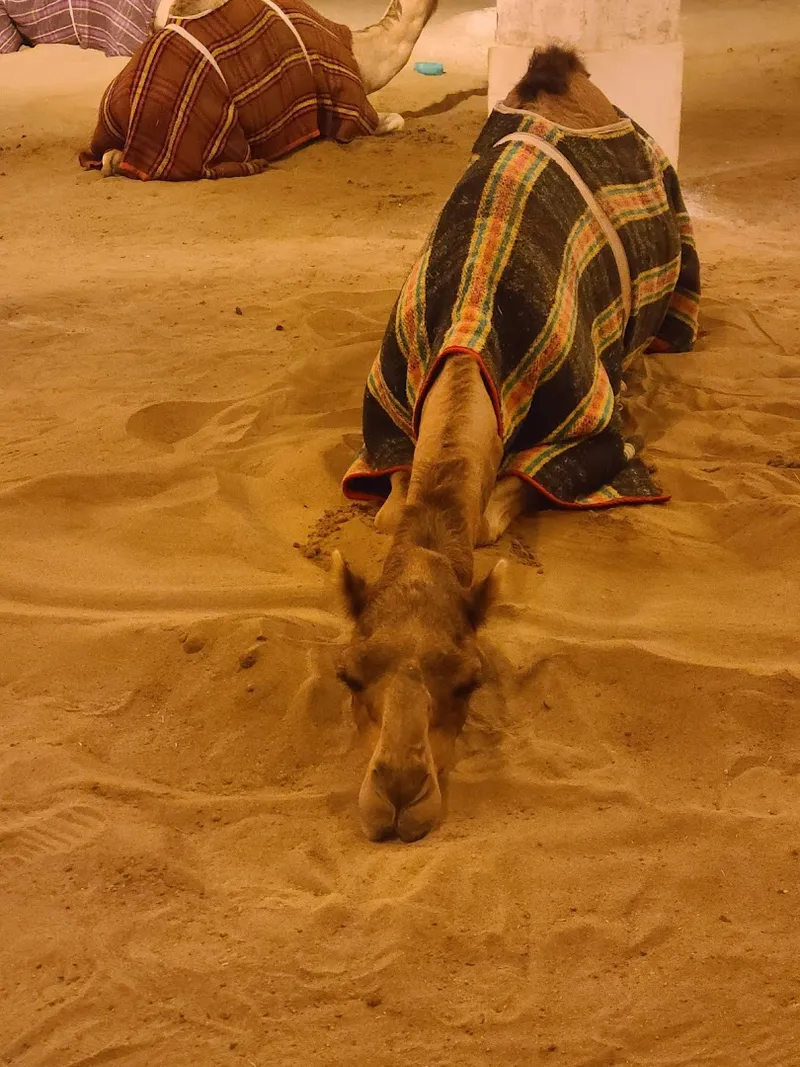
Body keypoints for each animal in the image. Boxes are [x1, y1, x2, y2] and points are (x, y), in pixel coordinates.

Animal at [334, 45, 701, 842]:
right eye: (348, 671)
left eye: (470, 677)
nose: (398, 795)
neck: (473, 330)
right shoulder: (390, 420)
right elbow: (392, 509)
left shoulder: (587, 437)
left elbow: (487, 516)